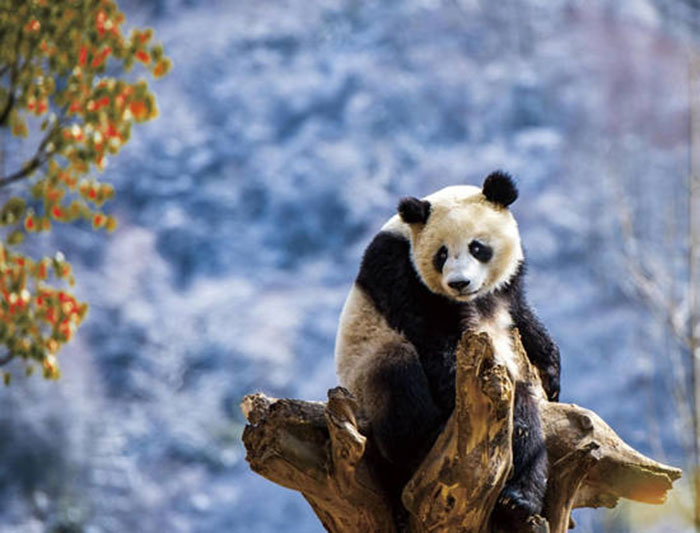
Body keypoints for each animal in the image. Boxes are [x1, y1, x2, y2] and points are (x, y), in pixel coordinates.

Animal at [336, 171, 560, 528]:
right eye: (441, 254)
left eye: (477, 247)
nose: (459, 283)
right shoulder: (398, 270)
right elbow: (434, 340)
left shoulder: (509, 286)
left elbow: (522, 315)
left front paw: (552, 370)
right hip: (362, 380)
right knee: (395, 371)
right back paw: (425, 439)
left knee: (526, 418)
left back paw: (519, 499)